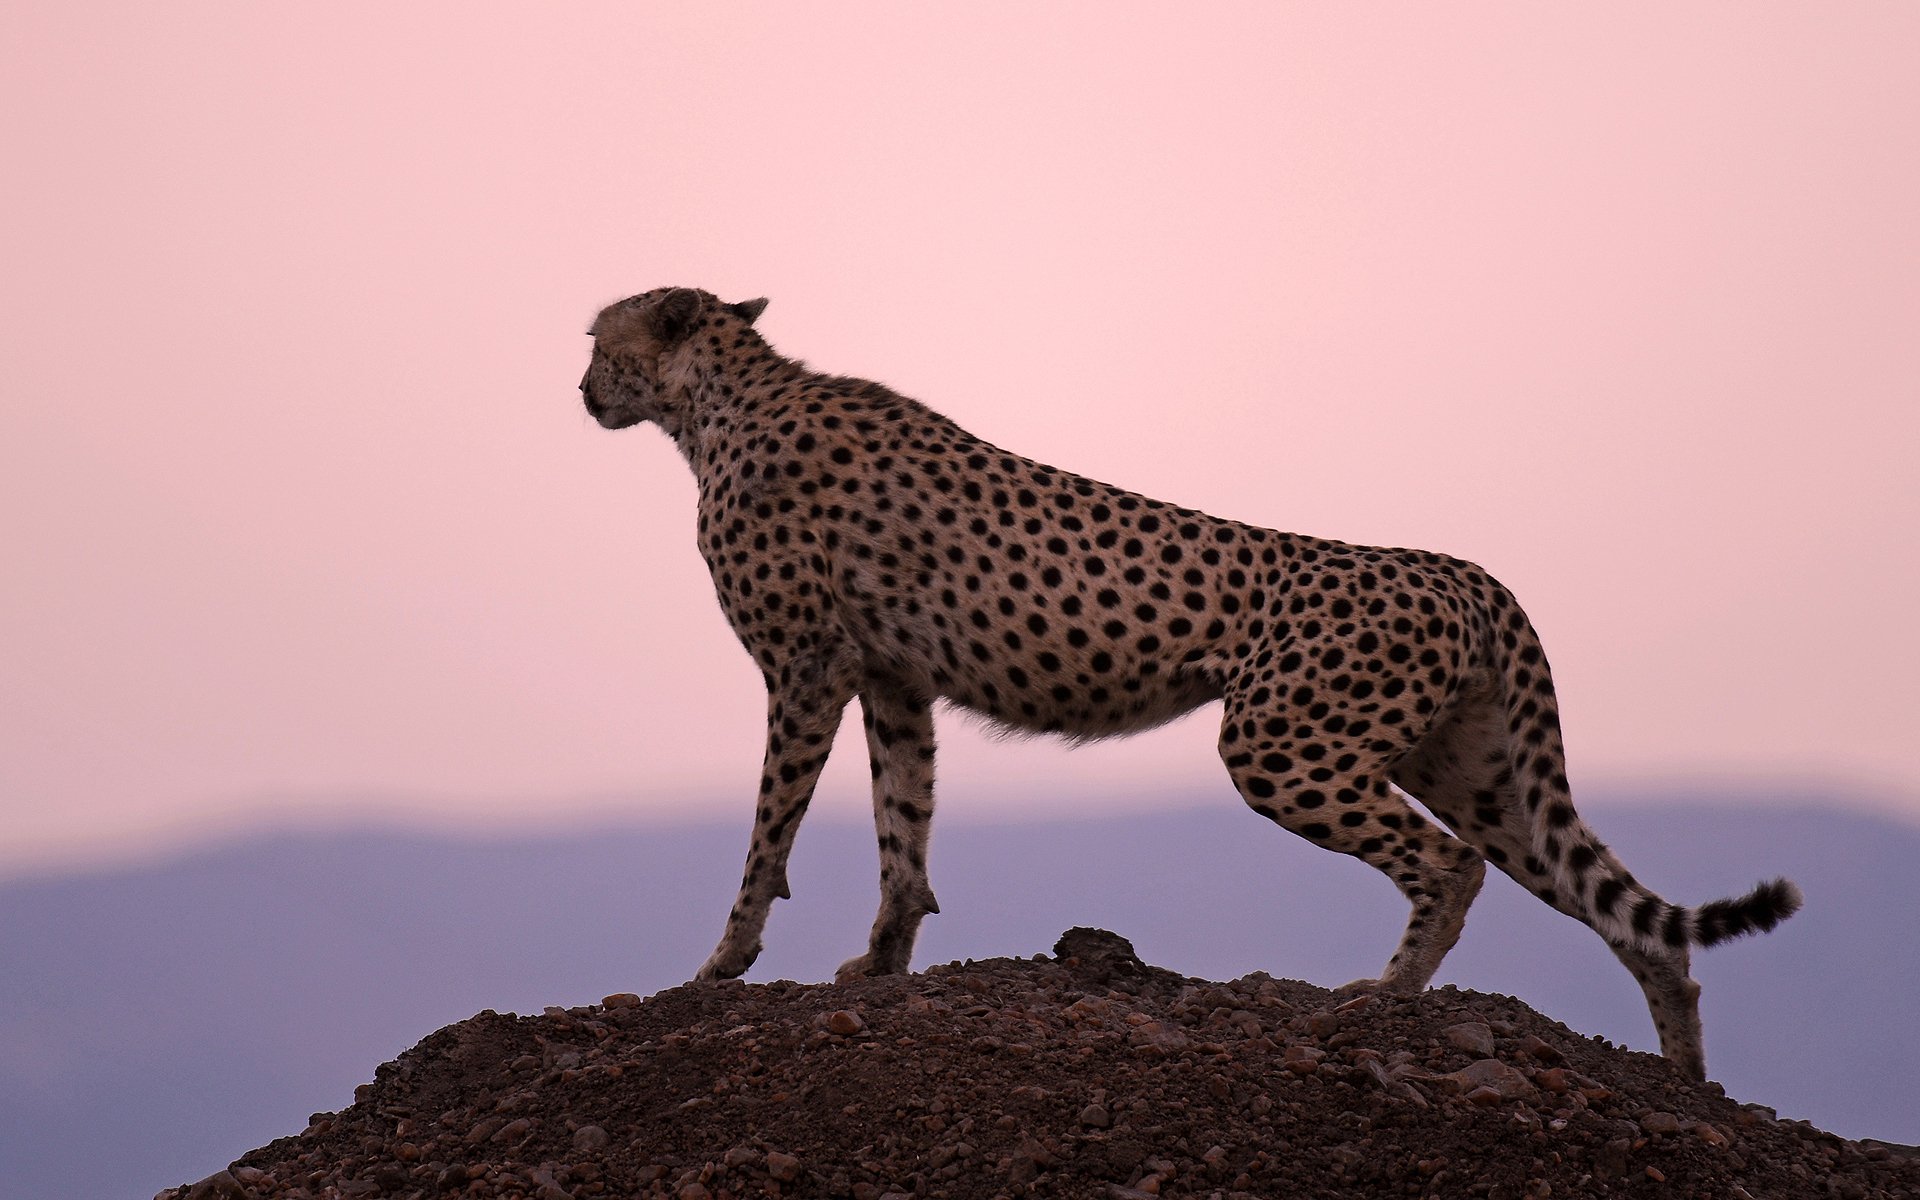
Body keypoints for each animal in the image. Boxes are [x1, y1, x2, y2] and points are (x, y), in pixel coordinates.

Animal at [579, 286, 1802, 1080]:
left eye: (598, 337)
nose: (581, 386)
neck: (717, 400)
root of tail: (1460, 566)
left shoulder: (807, 670)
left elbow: (769, 836)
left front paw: (721, 966)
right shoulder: (894, 680)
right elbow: (903, 831)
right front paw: (881, 964)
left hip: (1281, 744)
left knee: (1449, 866)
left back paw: (1386, 1000)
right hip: (1474, 770)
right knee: (1634, 920)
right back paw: (1688, 1081)